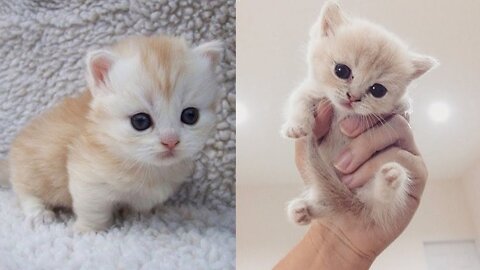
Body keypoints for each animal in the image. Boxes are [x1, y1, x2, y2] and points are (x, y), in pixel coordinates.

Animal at [0, 35, 223, 233]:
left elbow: (140, 205)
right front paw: (88, 231)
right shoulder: (86, 179)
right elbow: (94, 211)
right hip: (30, 170)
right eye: (140, 121)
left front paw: (138, 215)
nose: (171, 141)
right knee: (25, 192)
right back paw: (39, 214)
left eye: (190, 115)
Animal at [280, 1, 436, 230]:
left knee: (382, 201)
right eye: (341, 70)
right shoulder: (310, 91)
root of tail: (354, 200)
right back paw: (300, 211)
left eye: (378, 90)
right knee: (327, 206)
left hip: (374, 195)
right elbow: (298, 100)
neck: (342, 112)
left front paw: (404, 106)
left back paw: (391, 177)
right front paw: (297, 126)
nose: (353, 97)